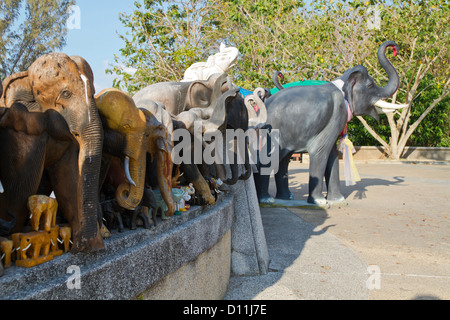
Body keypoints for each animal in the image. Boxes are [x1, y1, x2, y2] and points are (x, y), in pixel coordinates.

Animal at [0, 52, 103, 252]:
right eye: (66, 94)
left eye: (94, 92)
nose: (79, 246)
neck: (25, 75)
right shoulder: (21, 130)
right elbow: (20, 188)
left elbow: (68, 181)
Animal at [256, 40, 400, 205]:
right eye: (370, 85)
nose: (394, 50)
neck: (342, 82)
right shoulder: (335, 115)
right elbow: (320, 152)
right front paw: (319, 201)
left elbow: (333, 156)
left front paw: (338, 201)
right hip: (272, 132)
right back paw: (266, 199)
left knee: (283, 160)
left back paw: (285, 198)